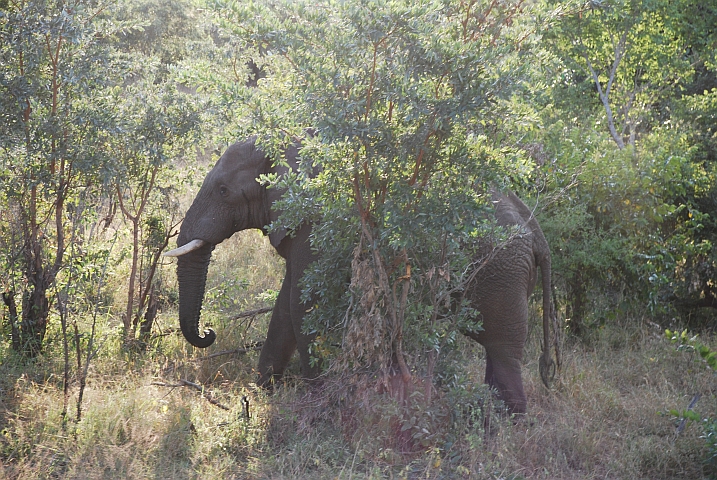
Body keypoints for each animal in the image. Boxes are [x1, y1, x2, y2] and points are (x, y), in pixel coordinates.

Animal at [165, 135, 318, 386]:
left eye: (223, 191)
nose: (208, 332)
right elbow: (285, 303)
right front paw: (263, 388)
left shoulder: (312, 222)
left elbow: (302, 302)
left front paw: (317, 387)